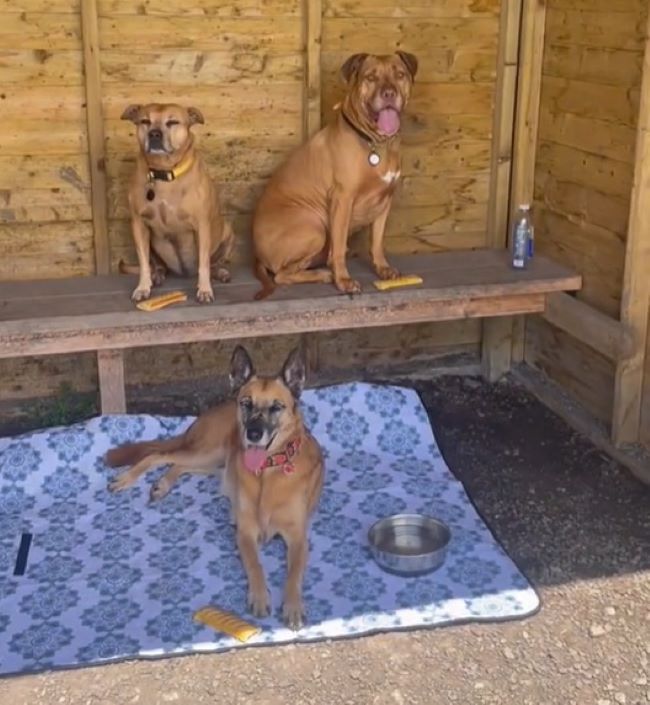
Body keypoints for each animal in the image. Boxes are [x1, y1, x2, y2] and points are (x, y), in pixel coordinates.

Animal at [105, 346, 324, 628]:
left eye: (276, 407)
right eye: (247, 403)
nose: (253, 434)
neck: (269, 472)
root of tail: (213, 410)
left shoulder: (298, 538)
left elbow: (294, 574)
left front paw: (294, 606)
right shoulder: (245, 533)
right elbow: (255, 565)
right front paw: (260, 597)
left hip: (214, 462)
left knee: (177, 464)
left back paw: (162, 486)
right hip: (210, 451)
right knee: (159, 455)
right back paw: (127, 479)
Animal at [121, 102, 233, 302]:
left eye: (172, 122)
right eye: (145, 121)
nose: (154, 134)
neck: (164, 172)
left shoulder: (202, 226)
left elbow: (204, 263)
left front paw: (205, 289)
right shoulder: (138, 224)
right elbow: (143, 263)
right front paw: (143, 287)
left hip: (227, 231)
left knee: (212, 264)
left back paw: (220, 273)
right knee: (157, 265)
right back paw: (157, 275)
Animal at [251, 51, 418, 298]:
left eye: (400, 75)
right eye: (370, 77)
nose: (389, 93)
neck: (378, 144)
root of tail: (257, 255)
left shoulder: (385, 201)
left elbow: (377, 242)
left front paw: (383, 268)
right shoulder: (343, 199)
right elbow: (338, 249)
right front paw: (343, 280)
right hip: (314, 228)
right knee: (282, 274)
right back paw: (324, 274)